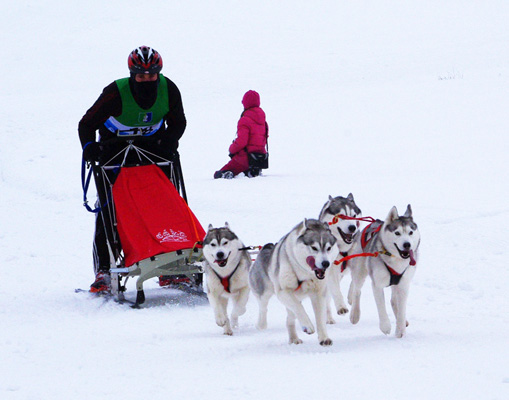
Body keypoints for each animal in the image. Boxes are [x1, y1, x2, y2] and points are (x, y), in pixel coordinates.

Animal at [249, 217, 338, 346]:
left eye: (329, 248)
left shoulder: (318, 294)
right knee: (263, 308)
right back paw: (261, 324)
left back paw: (293, 338)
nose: (326, 263)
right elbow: (299, 308)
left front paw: (324, 338)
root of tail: (266, 247)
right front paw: (308, 325)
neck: (304, 274)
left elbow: (320, 318)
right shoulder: (283, 292)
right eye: (314, 247)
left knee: (290, 318)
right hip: (264, 293)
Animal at [348, 203, 418, 338]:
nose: (407, 244)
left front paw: (400, 329)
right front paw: (385, 326)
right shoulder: (377, 284)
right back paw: (355, 314)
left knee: (393, 301)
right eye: (397, 233)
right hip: (360, 271)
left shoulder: (404, 284)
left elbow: (401, 308)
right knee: (356, 290)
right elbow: (381, 307)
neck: (395, 260)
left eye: (411, 232)